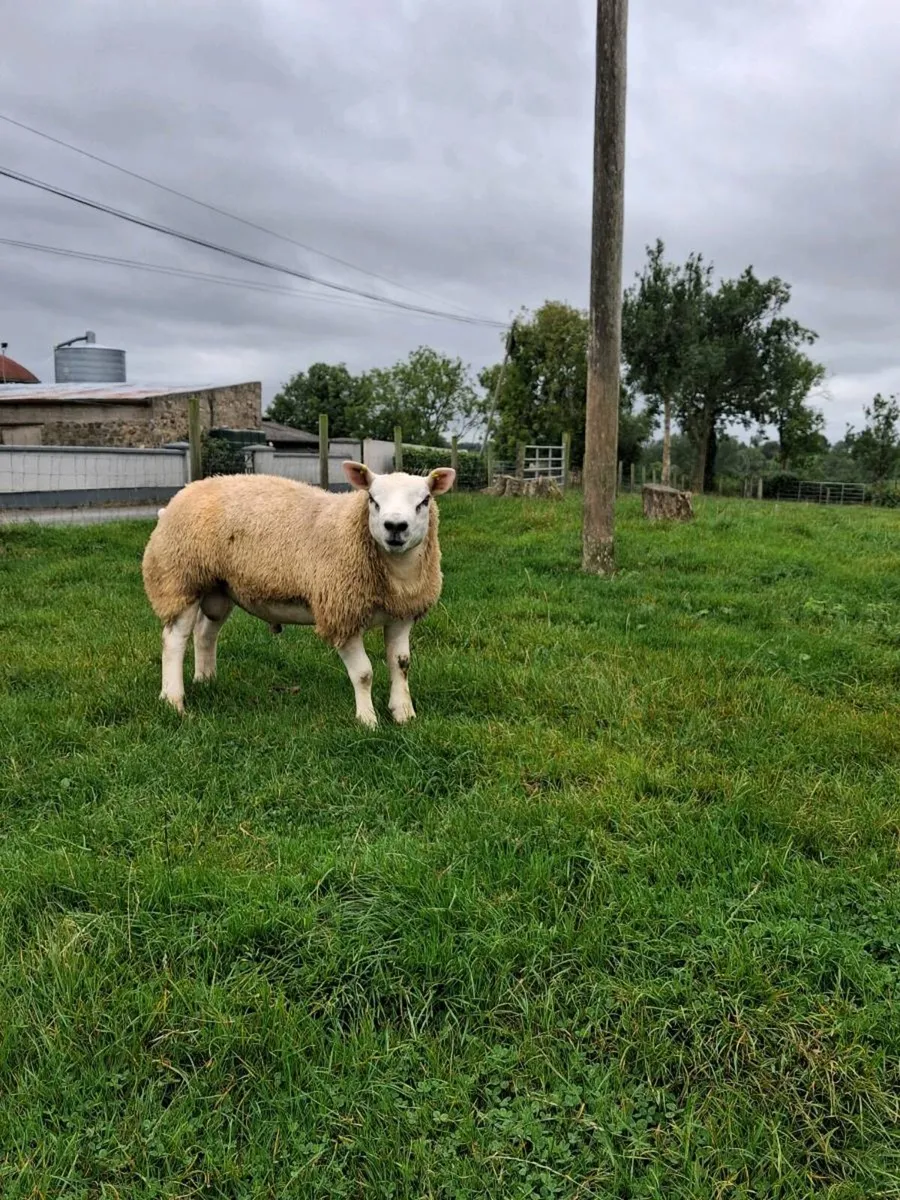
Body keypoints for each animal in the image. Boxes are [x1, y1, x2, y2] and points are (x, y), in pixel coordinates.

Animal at [141, 461, 456, 725]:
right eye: (373, 500)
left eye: (424, 501)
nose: (395, 527)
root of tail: (180, 496)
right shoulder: (341, 613)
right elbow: (364, 674)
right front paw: (367, 721)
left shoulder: (402, 613)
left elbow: (401, 665)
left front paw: (404, 714)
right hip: (179, 580)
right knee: (174, 640)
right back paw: (174, 701)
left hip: (218, 587)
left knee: (205, 633)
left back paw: (206, 680)